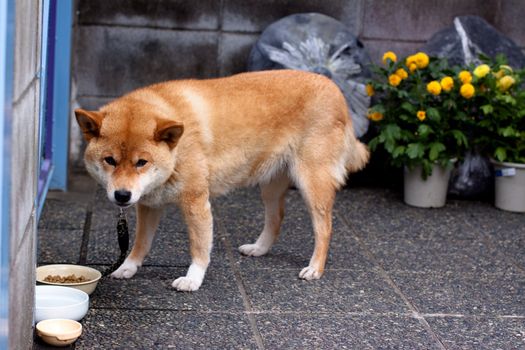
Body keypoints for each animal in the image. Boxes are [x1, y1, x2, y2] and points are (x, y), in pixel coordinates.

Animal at [74, 69, 368, 292]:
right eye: (110, 160)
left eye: (141, 162)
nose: (122, 196)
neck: (177, 149)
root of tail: (336, 89)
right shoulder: (149, 204)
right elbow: (140, 243)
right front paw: (128, 267)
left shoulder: (195, 202)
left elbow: (199, 247)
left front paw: (192, 279)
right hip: (270, 186)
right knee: (276, 218)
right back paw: (259, 248)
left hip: (311, 183)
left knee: (324, 228)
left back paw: (315, 268)